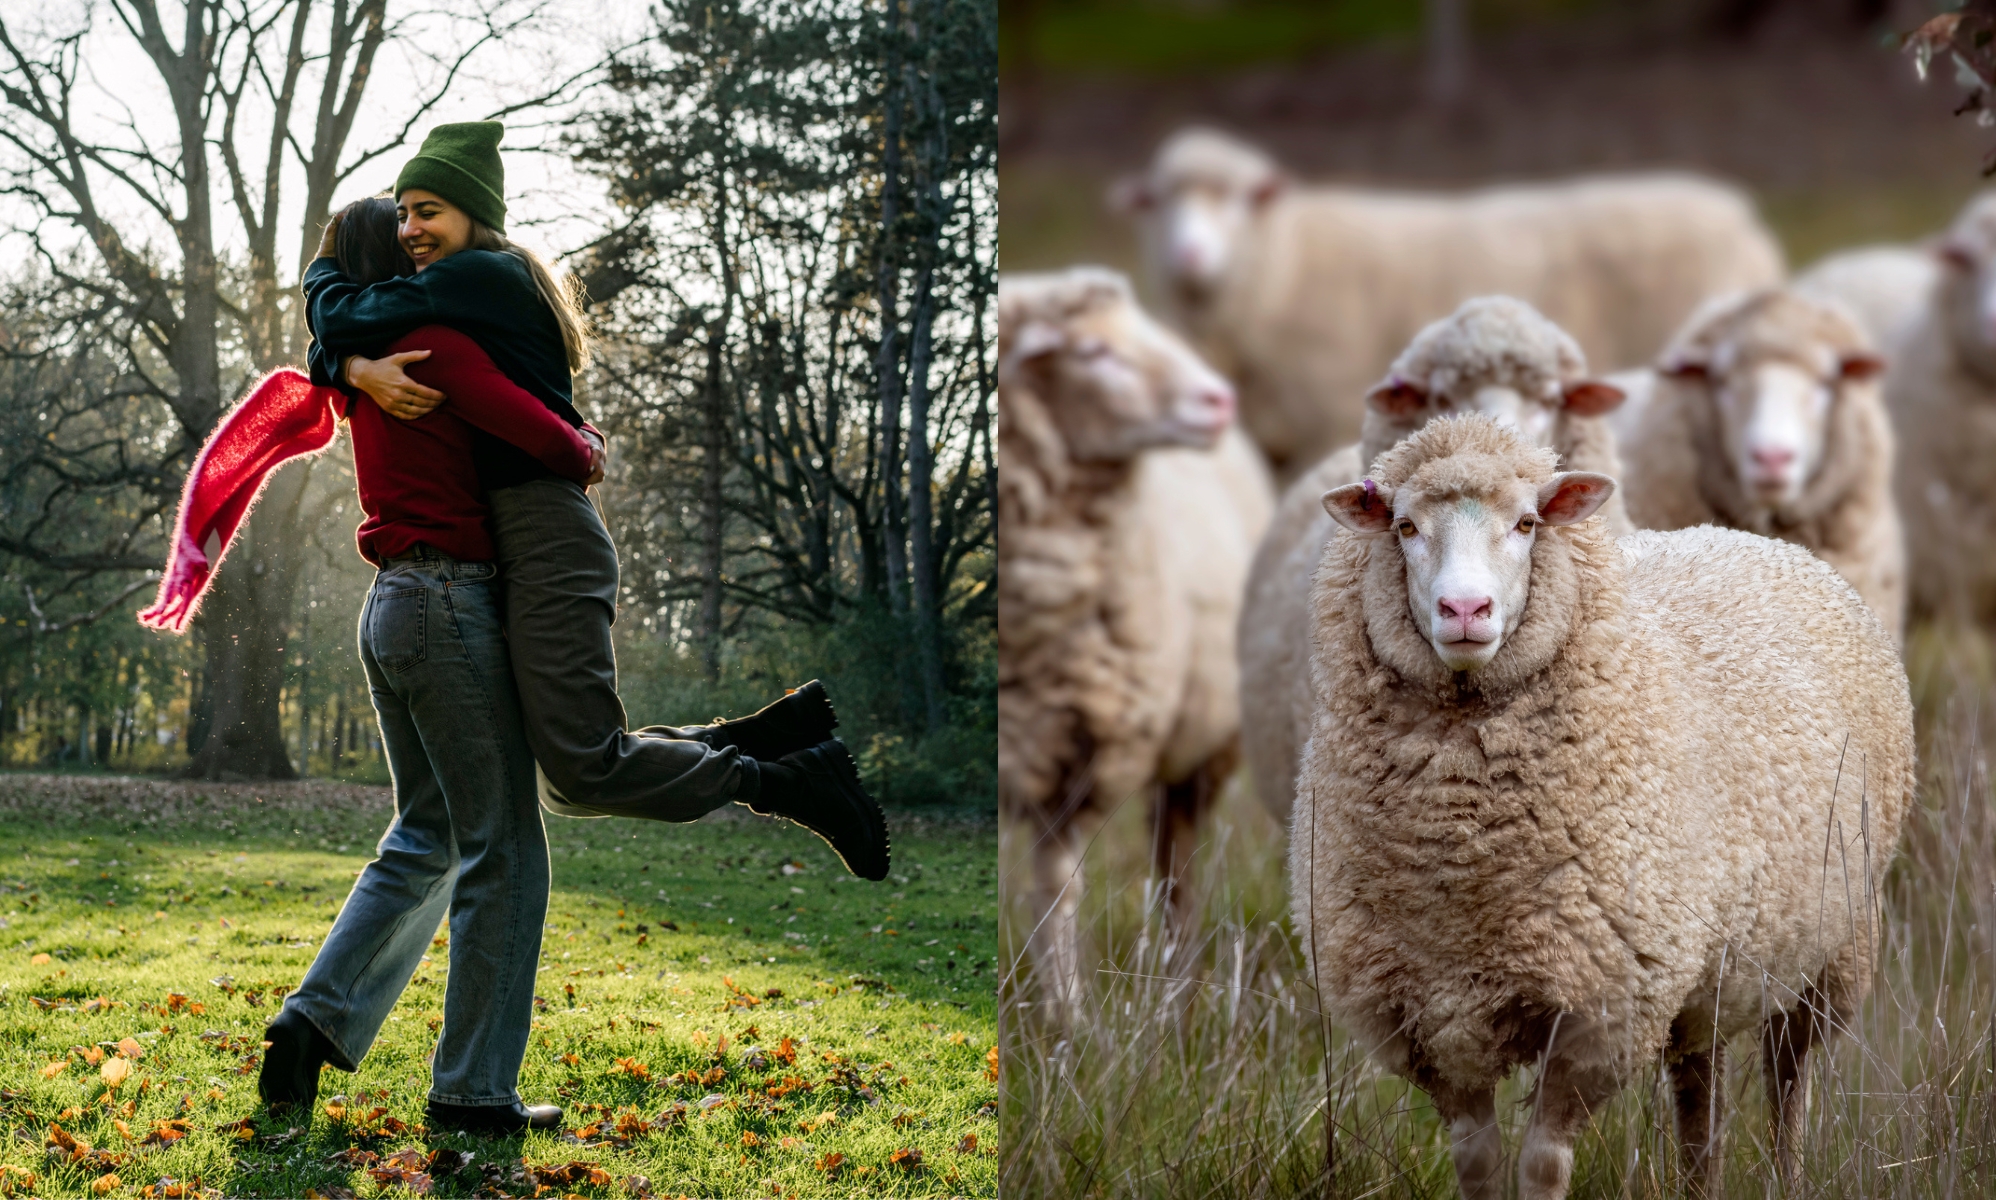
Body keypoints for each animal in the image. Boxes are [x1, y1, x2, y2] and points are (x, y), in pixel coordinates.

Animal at [997, 266, 1274, 1004]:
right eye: (1093, 352)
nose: (1220, 399)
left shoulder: (1082, 757)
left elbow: (1055, 890)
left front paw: (1067, 1013)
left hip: (1205, 747)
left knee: (1176, 857)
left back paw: (1177, 974)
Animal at [1111, 127, 1784, 480]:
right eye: (1161, 203)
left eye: (1239, 200)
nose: (1189, 254)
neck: (1282, 260)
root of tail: (1742, 214)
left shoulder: (1316, 420)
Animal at [1293, 414, 1912, 1200]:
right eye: (1404, 526)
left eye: (1527, 523)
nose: (1464, 610)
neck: (1462, 857)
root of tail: (1747, 537)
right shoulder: (1431, 1016)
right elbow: (1478, 1163)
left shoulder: (1601, 1010)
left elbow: (1542, 1162)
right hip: (1704, 969)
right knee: (1700, 1091)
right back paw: (1700, 1182)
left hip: (1834, 947)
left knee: (1788, 1081)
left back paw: (1789, 1176)